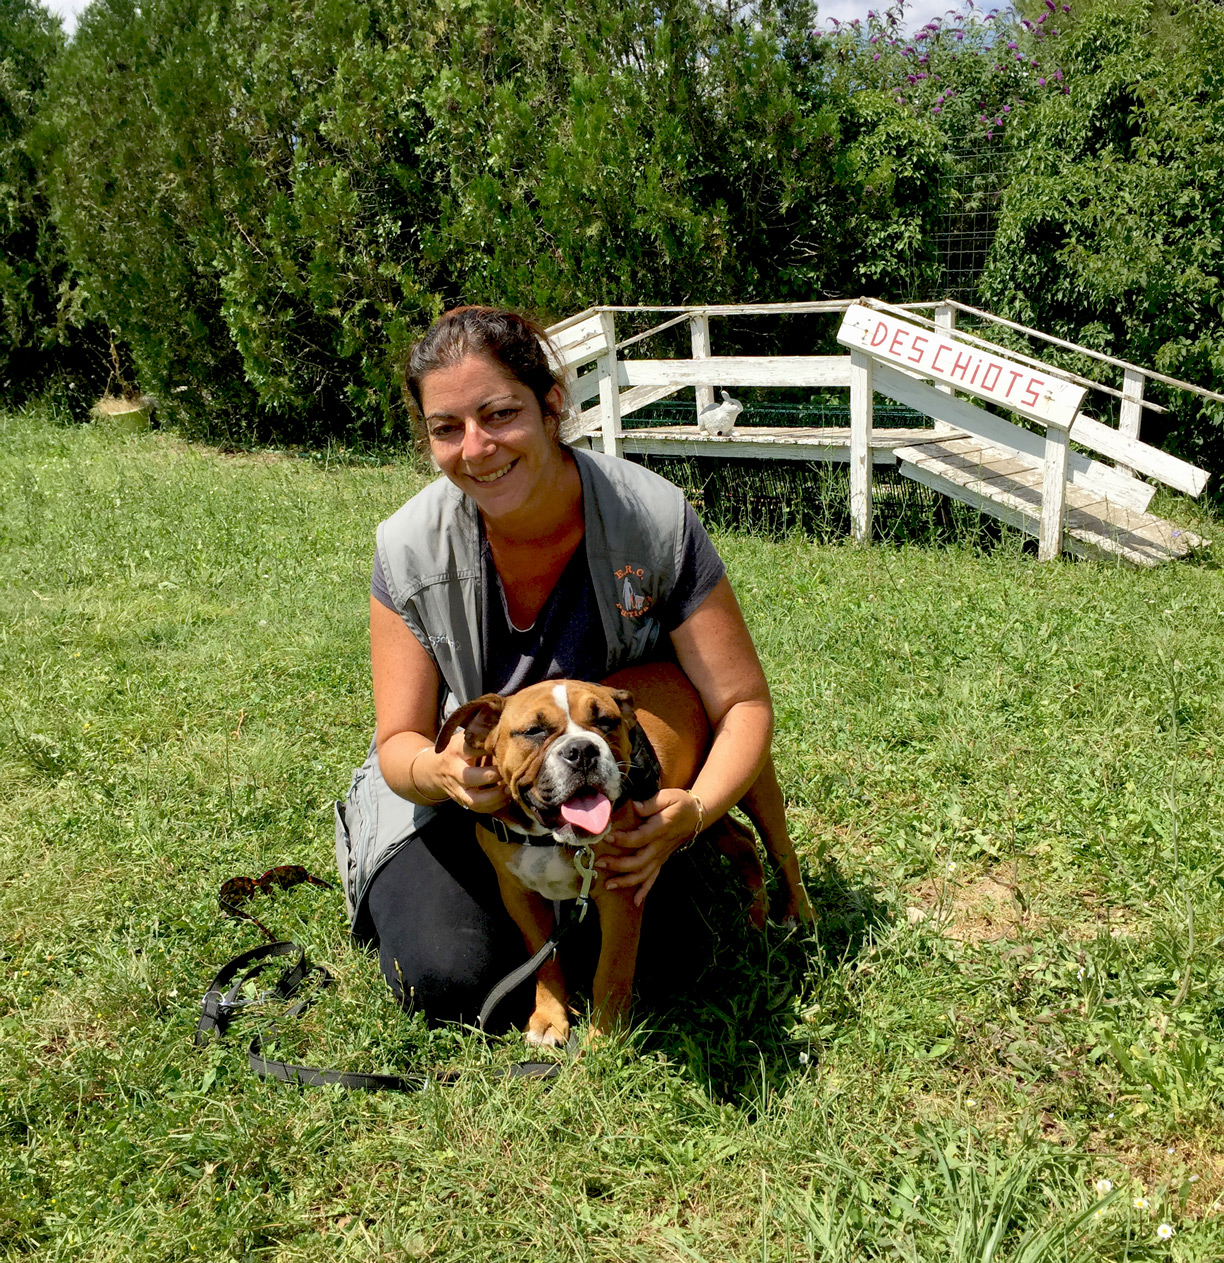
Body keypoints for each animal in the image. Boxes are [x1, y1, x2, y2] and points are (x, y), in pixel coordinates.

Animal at [439, 661, 813, 1045]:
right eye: (533, 731)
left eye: (606, 721)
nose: (582, 750)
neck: (549, 838)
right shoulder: (521, 898)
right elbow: (544, 961)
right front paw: (549, 1018)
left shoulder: (620, 896)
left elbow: (611, 970)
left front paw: (604, 1038)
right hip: (707, 806)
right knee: (744, 842)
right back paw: (756, 913)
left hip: (754, 781)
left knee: (780, 847)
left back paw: (797, 913)